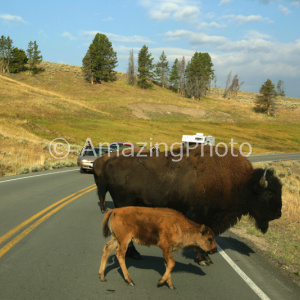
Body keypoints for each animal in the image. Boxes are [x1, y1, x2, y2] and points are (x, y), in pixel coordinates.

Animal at [94, 145, 282, 264]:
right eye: (269, 193)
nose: (278, 214)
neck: (242, 183)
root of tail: (108, 162)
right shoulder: (205, 218)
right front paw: (204, 259)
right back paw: (134, 254)